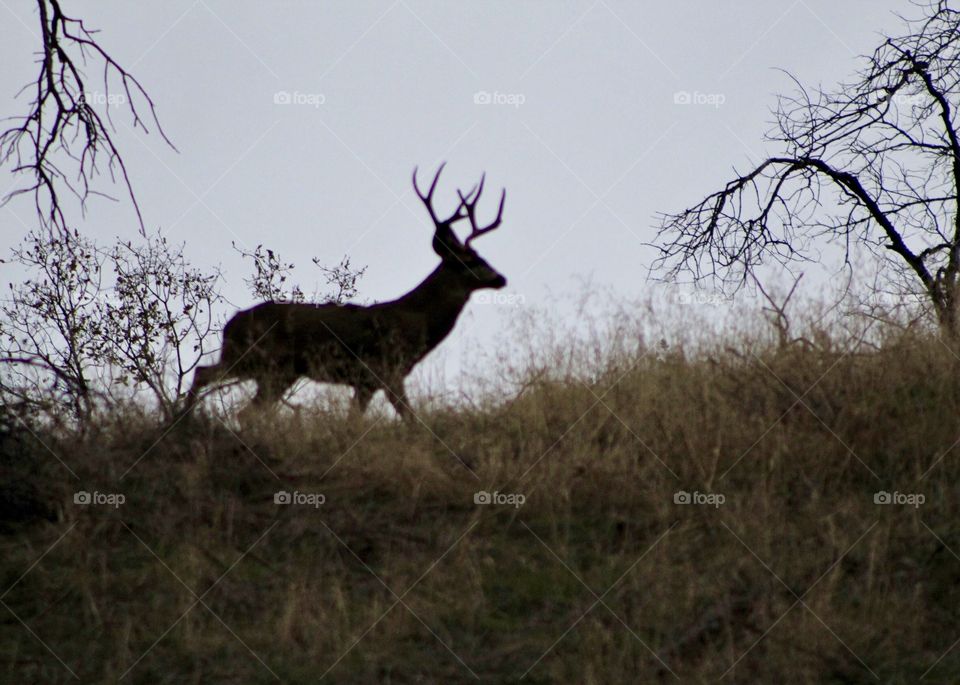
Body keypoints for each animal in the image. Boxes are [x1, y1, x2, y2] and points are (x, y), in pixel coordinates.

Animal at [180, 164, 507, 421]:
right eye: (471, 261)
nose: (501, 278)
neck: (416, 320)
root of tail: (230, 324)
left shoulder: (367, 382)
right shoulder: (384, 370)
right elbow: (410, 419)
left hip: (277, 371)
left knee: (242, 406)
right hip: (259, 360)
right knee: (208, 378)